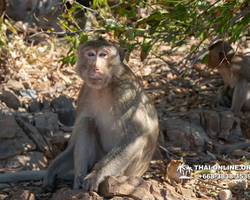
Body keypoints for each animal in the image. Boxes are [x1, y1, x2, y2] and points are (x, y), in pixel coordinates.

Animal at [41, 37, 158, 192]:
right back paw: (78, 183)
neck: (104, 87)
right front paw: (52, 171)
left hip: (125, 172)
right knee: (87, 122)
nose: (95, 67)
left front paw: (95, 175)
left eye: (103, 55)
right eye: (90, 54)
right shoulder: (84, 92)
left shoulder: (126, 92)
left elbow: (136, 135)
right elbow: (73, 142)